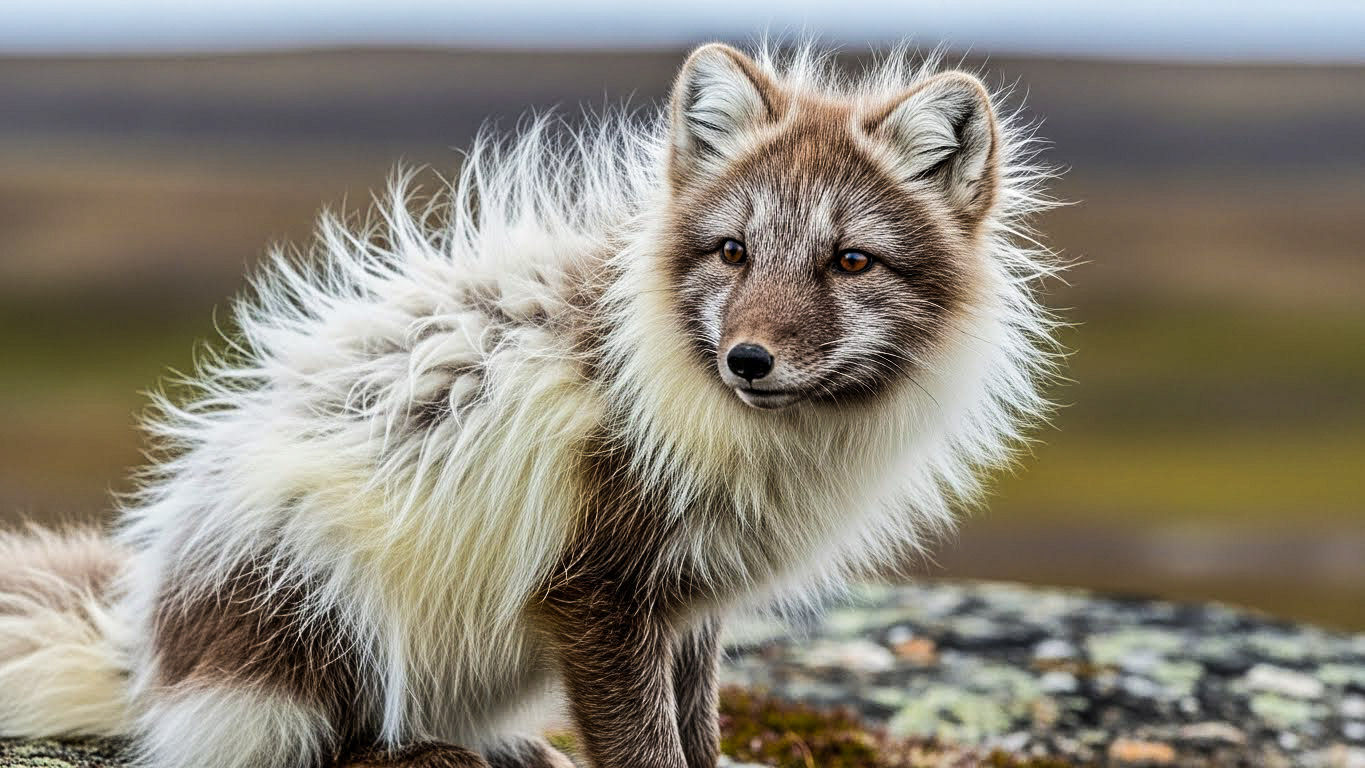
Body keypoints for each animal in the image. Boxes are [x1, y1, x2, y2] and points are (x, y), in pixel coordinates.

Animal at [0, 42, 1057, 768]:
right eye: (733, 251)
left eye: (850, 261)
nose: (748, 359)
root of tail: (144, 647)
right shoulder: (596, 596)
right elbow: (646, 749)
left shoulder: (691, 605)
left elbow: (697, 733)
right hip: (318, 587)